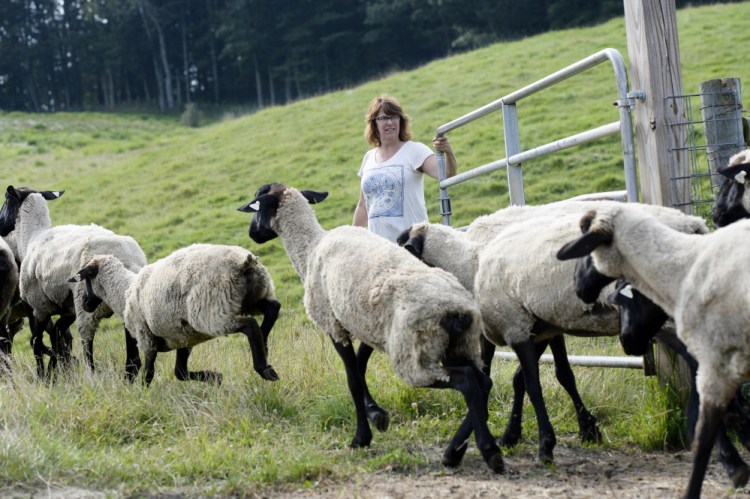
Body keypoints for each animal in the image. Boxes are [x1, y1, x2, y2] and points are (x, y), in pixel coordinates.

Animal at [0, 187, 148, 378]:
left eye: (6, 200)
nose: (0, 226)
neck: (32, 236)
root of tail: (125, 257)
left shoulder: (38, 307)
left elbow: (37, 343)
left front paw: (43, 376)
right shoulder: (67, 309)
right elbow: (58, 336)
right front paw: (58, 368)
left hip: (85, 302)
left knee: (87, 342)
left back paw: (91, 374)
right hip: (123, 298)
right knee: (131, 348)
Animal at [69, 243, 280, 386]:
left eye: (85, 279)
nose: (85, 304)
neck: (124, 292)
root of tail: (245, 263)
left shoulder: (146, 339)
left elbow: (148, 374)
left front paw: (142, 398)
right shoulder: (183, 337)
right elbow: (180, 372)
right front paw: (214, 377)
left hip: (212, 312)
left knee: (249, 324)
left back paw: (264, 368)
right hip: (250, 297)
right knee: (273, 308)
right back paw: (265, 343)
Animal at [235, 183, 506, 472]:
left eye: (256, 206)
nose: (252, 234)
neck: (310, 248)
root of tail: (458, 311)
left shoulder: (334, 325)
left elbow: (352, 379)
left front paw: (361, 437)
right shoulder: (367, 326)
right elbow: (360, 365)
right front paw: (376, 414)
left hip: (414, 352)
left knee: (468, 382)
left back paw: (486, 452)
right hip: (460, 346)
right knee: (483, 381)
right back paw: (458, 450)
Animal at [396, 199, 712, 464]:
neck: (471, 262)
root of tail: (693, 224)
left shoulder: (512, 326)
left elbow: (527, 381)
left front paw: (545, 442)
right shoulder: (539, 328)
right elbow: (530, 378)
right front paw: (511, 436)